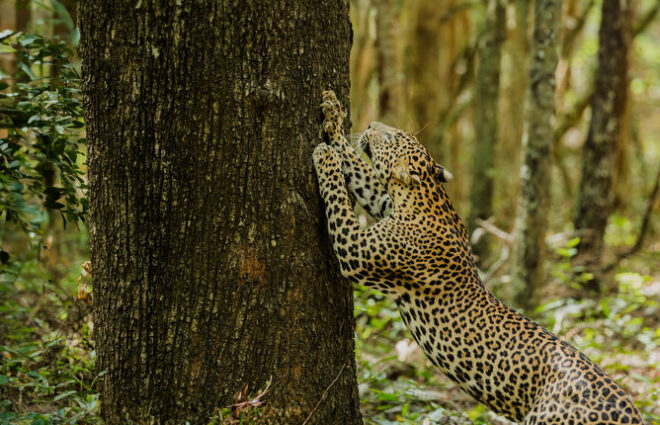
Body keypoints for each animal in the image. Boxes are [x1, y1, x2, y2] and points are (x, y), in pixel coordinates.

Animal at [314, 90, 644, 424]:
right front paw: (333, 116)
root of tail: (629, 413)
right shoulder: (381, 202)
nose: (370, 124)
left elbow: (339, 199)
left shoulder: (356, 250)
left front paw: (324, 157)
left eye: (391, 136)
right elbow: (358, 170)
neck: (425, 196)